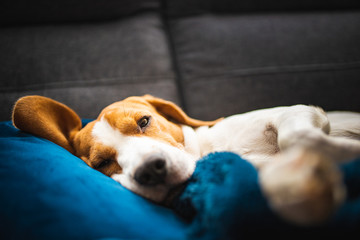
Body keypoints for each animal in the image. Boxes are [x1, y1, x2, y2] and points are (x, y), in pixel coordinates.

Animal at [11, 94, 360, 225]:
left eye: (144, 121)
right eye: (101, 164)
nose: (151, 171)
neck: (208, 150)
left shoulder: (299, 112)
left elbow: (296, 137)